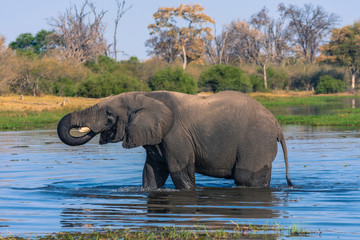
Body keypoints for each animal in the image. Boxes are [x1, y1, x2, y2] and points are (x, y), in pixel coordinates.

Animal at [57, 90, 292, 189]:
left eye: (108, 114)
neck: (146, 96)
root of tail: (277, 124)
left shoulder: (176, 135)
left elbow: (180, 172)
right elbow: (152, 171)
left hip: (255, 142)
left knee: (245, 178)